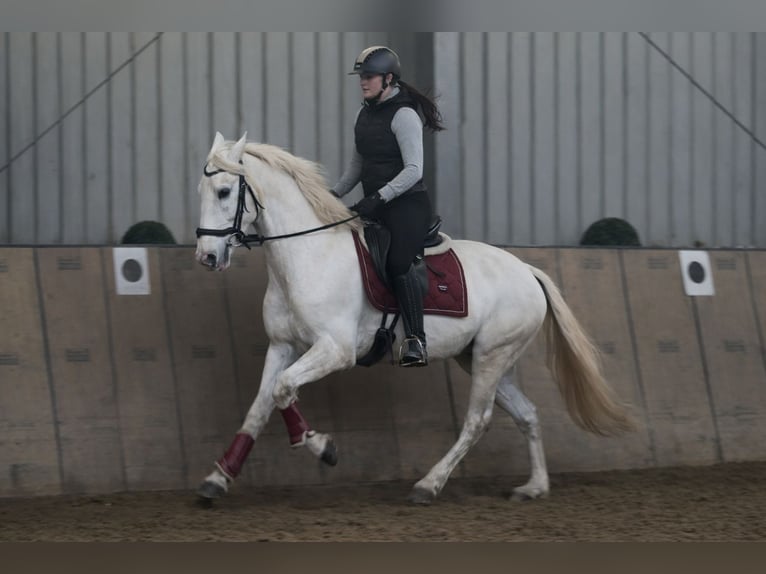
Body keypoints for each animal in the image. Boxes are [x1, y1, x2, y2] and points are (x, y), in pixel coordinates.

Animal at [194, 132, 634, 505]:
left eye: (225, 191)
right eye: (202, 191)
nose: (207, 257)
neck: (308, 254)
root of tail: (527, 270)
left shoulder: (335, 350)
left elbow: (284, 390)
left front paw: (322, 447)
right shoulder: (283, 346)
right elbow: (261, 405)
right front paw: (218, 479)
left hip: (492, 356)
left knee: (477, 421)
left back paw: (428, 485)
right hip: (482, 357)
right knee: (527, 413)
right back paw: (534, 487)